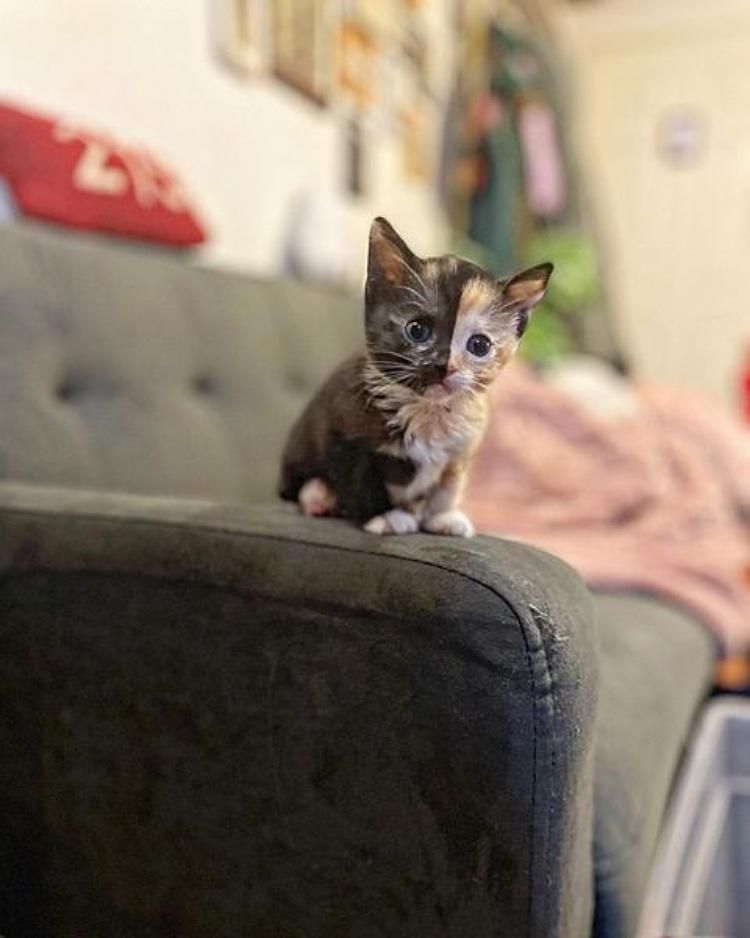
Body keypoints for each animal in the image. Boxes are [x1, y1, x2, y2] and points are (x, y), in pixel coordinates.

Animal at [280, 214, 552, 532]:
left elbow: (448, 486)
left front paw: (441, 516)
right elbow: (361, 482)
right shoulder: (342, 434)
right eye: (417, 330)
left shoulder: (462, 449)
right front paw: (384, 516)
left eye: (480, 345)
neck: (427, 410)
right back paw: (320, 496)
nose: (445, 366)